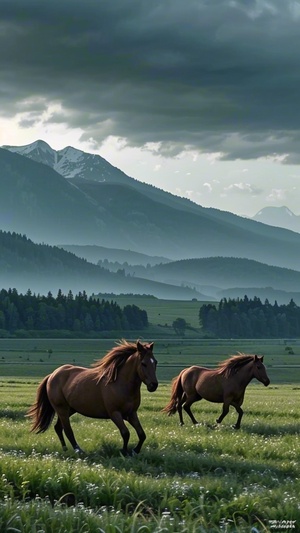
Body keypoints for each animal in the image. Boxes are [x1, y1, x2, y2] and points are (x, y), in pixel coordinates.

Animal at [27, 340, 158, 454]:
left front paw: (135, 451)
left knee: (58, 427)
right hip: (62, 409)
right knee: (68, 430)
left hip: (70, 409)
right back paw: (78, 450)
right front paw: (124, 452)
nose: (154, 385)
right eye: (143, 363)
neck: (121, 384)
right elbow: (125, 433)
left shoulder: (131, 414)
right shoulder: (115, 413)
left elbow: (142, 434)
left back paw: (65, 449)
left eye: (155, 362)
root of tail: (52, 375)